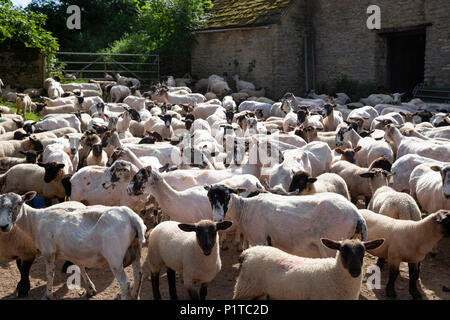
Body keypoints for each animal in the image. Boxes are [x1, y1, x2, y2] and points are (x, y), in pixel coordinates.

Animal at [0, 192, 146, 300]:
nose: (3, 226)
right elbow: (81, 267)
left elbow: (49, 274)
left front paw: (47, 295)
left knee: (125, 284)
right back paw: (135, 295)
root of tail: (132, 217)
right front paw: (90, 289)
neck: (34, 221)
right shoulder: (74, 251)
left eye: (19, 203)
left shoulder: (48, 252)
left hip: (114, 256)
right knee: (138, 274)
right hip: (136, 249)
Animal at [232, 238, 384, 300]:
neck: (333, 273)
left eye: (363, 252)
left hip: (258, 291)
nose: (355, 271)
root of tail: (247, 252)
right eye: (342, 251)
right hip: (245, 288)